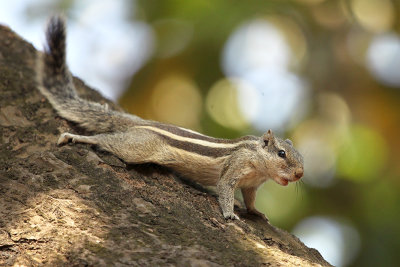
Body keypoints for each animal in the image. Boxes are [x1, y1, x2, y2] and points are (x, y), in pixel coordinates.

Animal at [36, 15, 304, 221]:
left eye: (300, 156)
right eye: (281, 153)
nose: (300, 174)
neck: (258, 163)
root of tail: (142, 123)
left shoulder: (252, 185)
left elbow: (250, 200)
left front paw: (257, 213)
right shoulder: (235, 168)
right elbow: (226, 190)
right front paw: (229, 214)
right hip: (138, 148)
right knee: (106, 140)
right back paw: (77, 137)